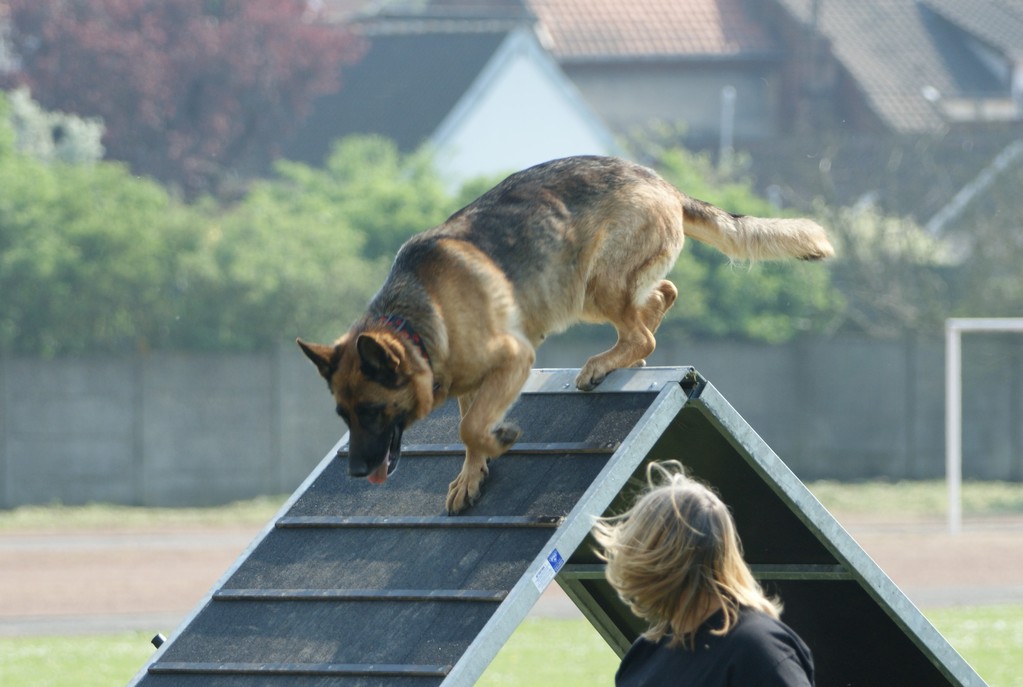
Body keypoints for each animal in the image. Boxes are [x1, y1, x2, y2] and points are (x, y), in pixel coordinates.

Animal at [294, 154, 830, 509]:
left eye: (371, 410)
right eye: (344, 415)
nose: (355, 471)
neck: (417, 324)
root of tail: (661, 182)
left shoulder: (514, 358)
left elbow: (471, 427)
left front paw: (499, 440)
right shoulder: (471, 381)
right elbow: (469, 428)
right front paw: (472, 473)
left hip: (591, 285)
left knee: (644, 330)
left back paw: (602, 365)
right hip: (589, 290)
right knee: (662, 297)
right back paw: (625, 359)